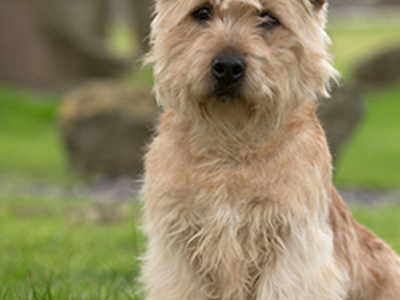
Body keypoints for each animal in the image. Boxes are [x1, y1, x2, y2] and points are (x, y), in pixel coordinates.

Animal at [140, 0, 400, 300]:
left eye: (268, 18)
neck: (231, 137)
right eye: (202, 12)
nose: (227, 66)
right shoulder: (178, 242)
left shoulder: (292, 243)